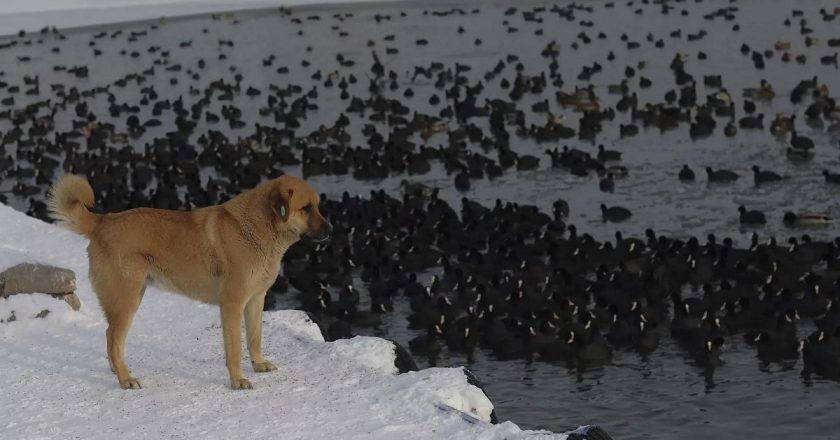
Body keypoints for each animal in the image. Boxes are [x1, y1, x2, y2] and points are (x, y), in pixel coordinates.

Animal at [46, 174, 332, 390]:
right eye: (306, 208)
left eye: (318, 206)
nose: (331, 230)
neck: (258, 229)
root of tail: (102, 221)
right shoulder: (232, 304)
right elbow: (235, 348)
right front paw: (237, 380)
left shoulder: (255, 299)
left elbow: (254, 338)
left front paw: (259, 364)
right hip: (126, 299)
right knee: (114, 338)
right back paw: (125, 379)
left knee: (110, 337)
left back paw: (118, 371)